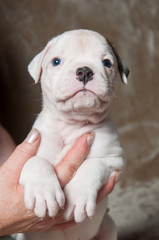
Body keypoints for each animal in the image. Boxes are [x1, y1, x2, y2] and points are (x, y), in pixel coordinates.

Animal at [18, 30, 129, 240]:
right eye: (56, 62)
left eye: (107, 63)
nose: (84, 71)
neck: (73, 123)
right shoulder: (31, 147)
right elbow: (36, 161)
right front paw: (43, 193)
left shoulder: (113, 159)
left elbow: (92, 165)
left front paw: (78, 196)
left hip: (108, 227)